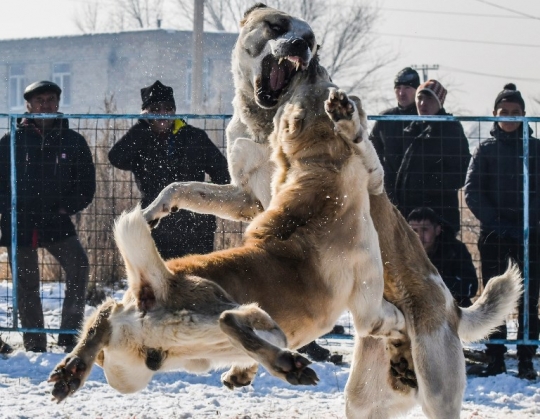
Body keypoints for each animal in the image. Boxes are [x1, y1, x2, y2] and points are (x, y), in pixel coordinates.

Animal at [143, 4, 524, 418]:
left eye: (312, 42)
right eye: (276, 25)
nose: (300, 46)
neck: (267, 123)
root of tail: (453, 309)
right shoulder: (248, 198)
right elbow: (181, 187)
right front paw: (152, 212)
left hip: (437, 389)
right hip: (362, 397)